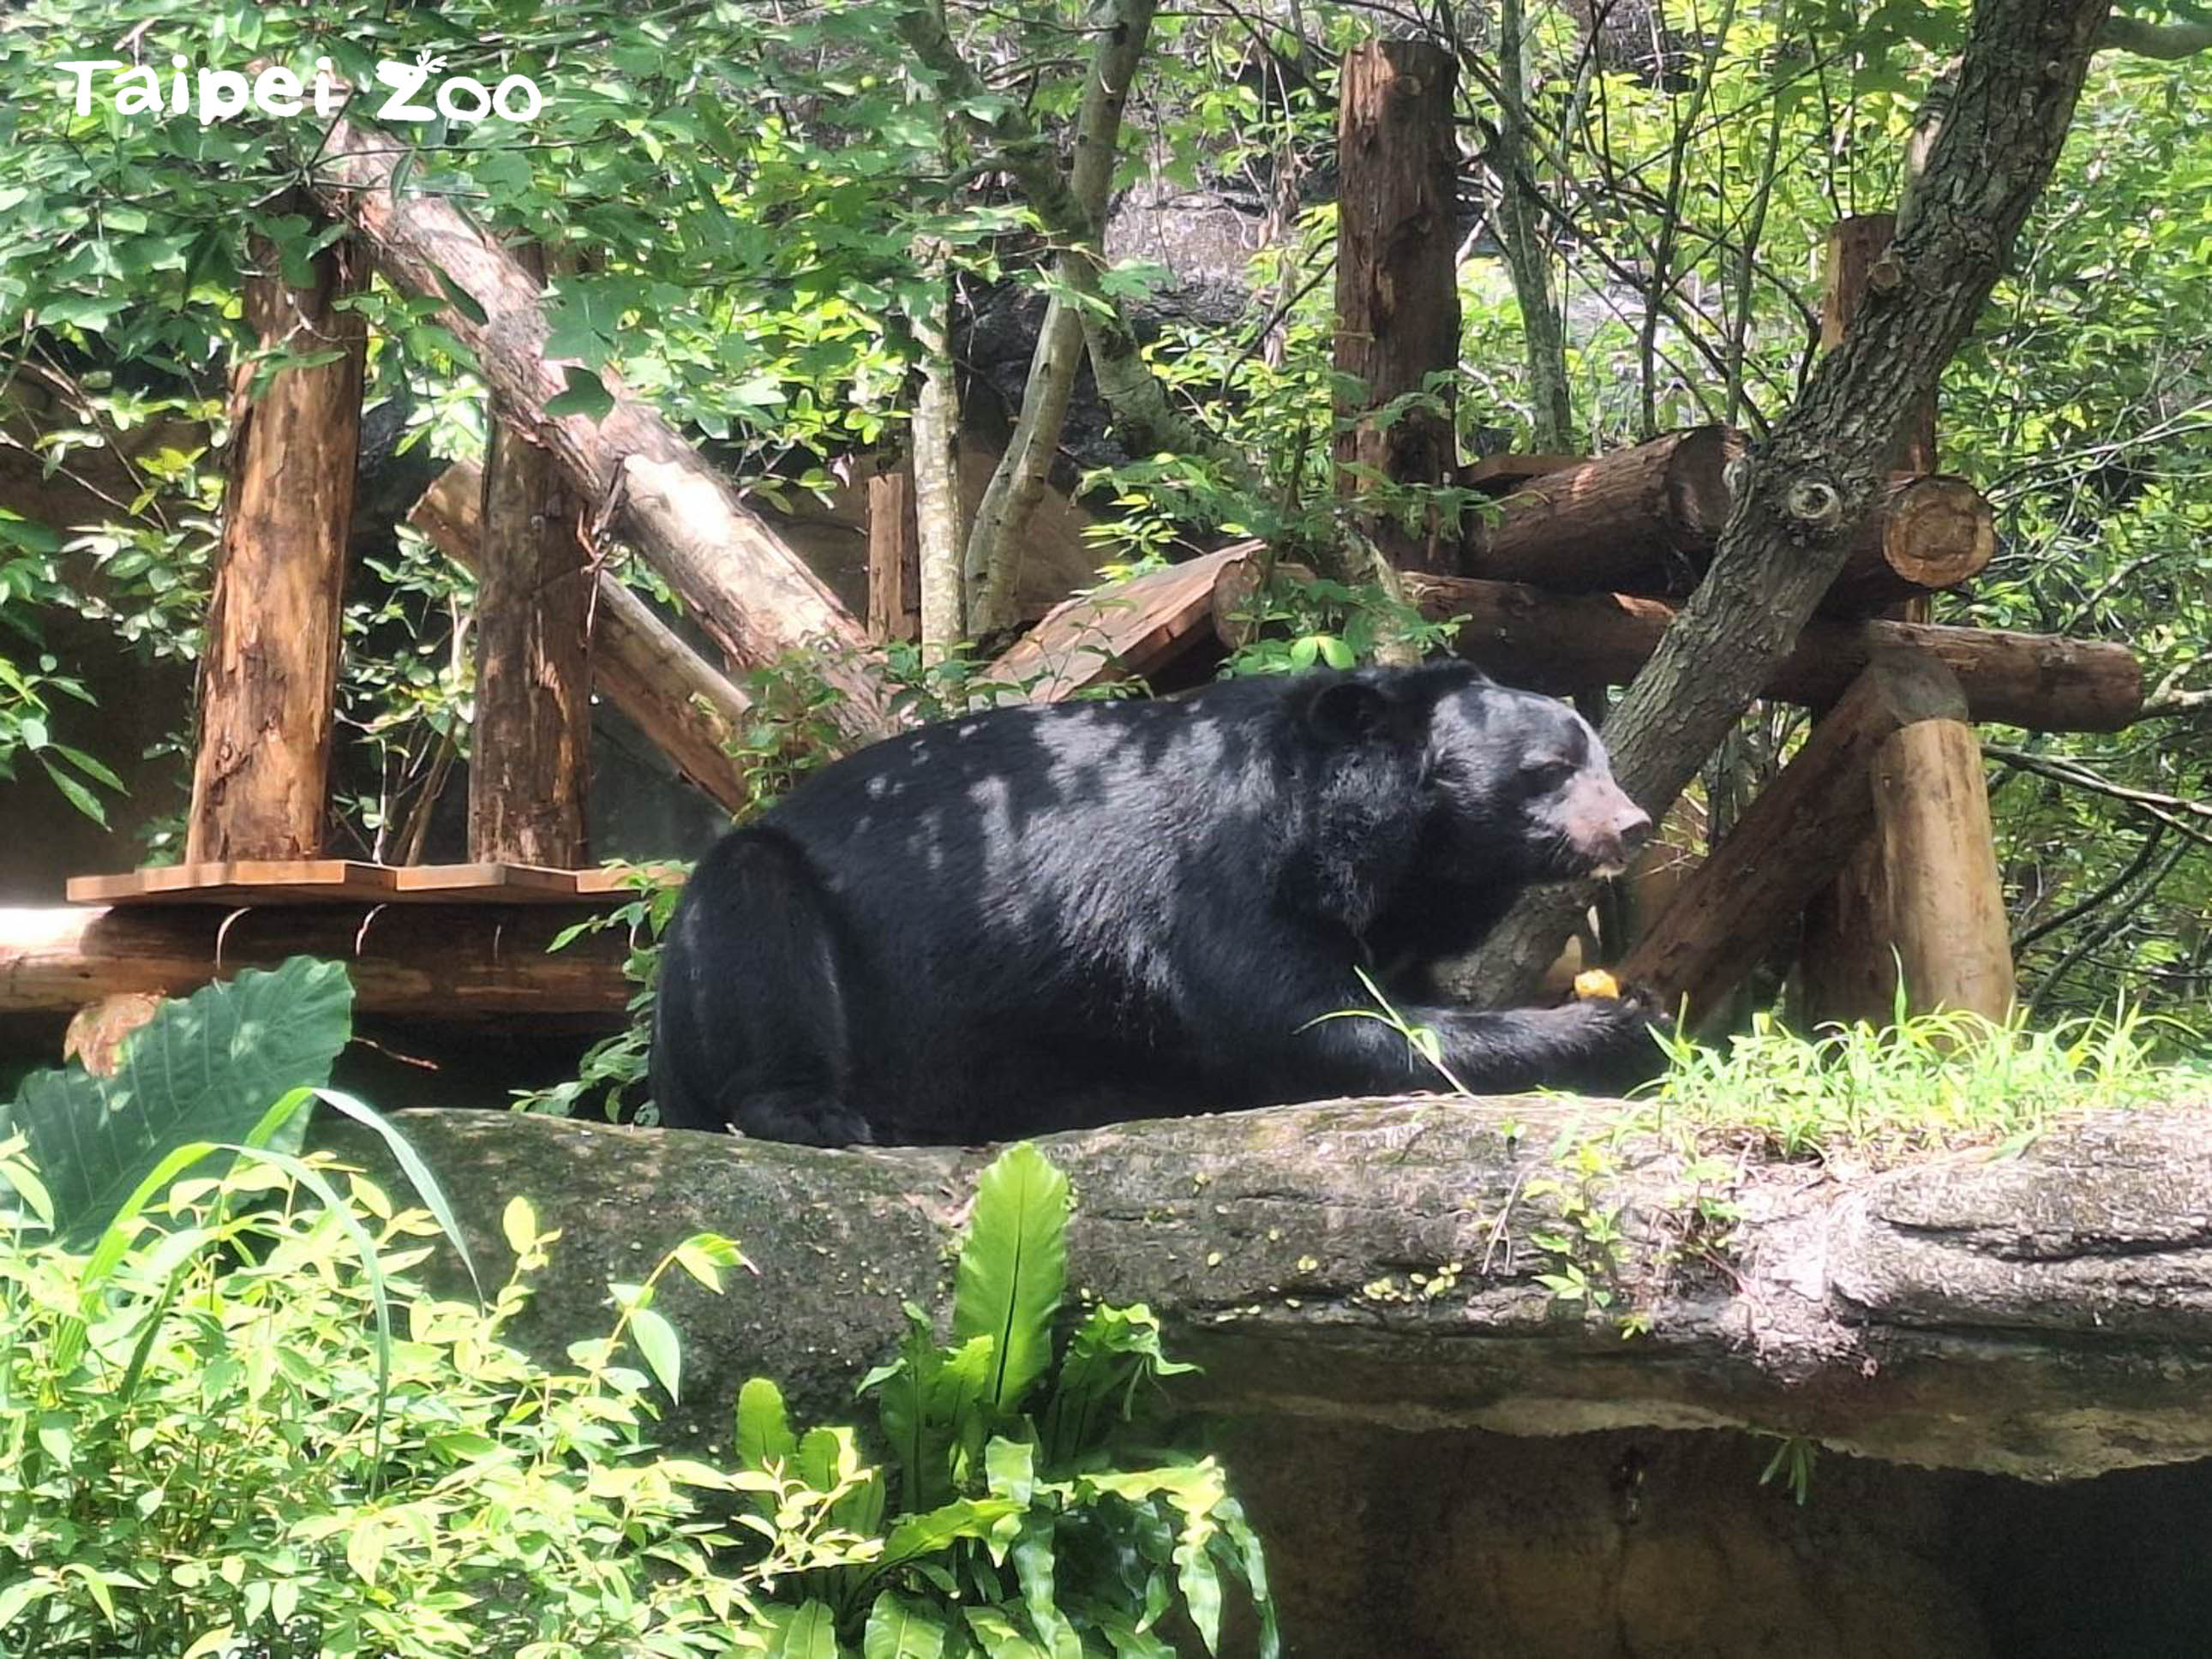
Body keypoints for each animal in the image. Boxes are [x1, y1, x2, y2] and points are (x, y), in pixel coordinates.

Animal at [650, 655, 1663, 1150]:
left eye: (1602, 759)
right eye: (1549, 769)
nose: (1635, 824)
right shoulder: (1222, 867)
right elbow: (1308, 1022)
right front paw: (1616, 1027)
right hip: (759, 919)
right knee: (758, 929)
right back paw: (822, 1116)